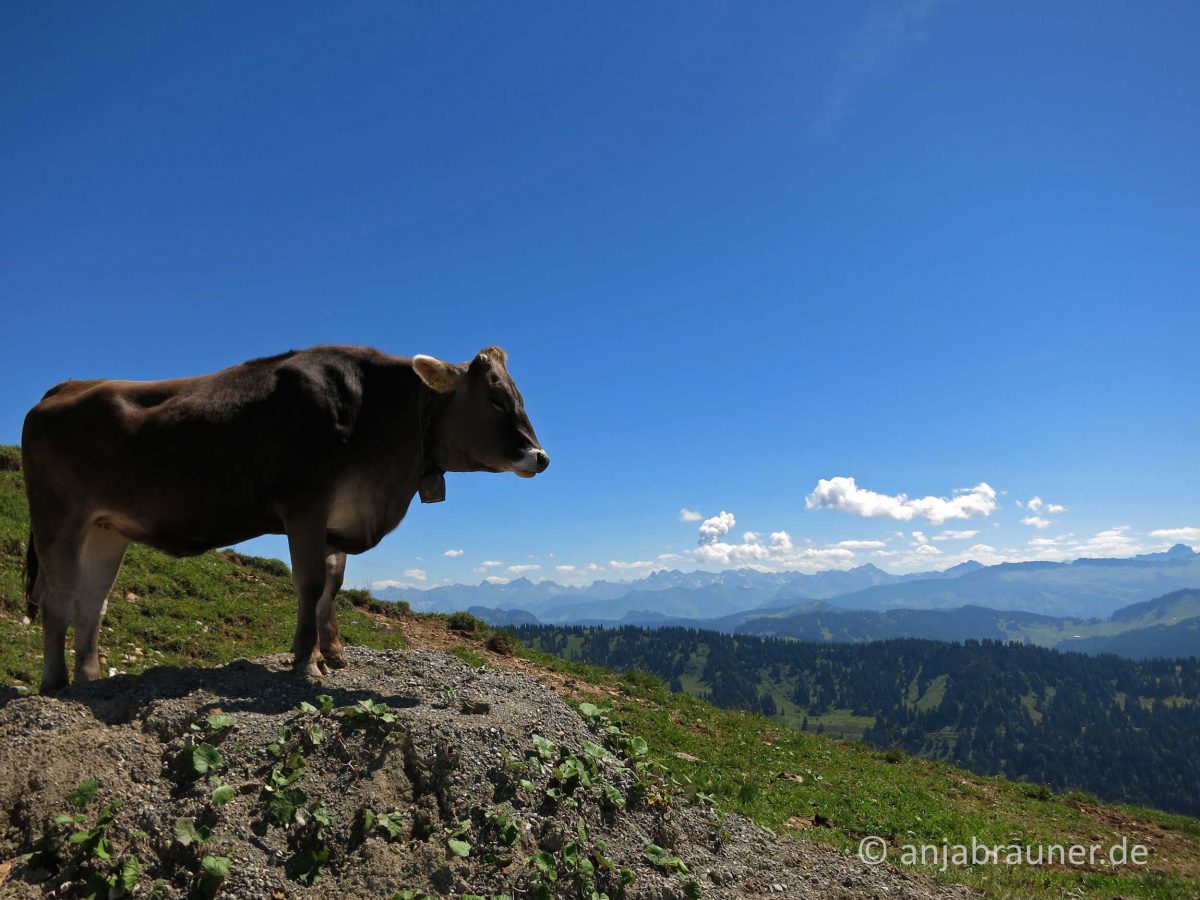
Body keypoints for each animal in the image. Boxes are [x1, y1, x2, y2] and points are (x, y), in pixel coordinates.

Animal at [19, 343, 549, 691]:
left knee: (92, 603)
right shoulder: (304, 506)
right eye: (496, 399)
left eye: (520, 396)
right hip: (57, 519)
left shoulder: (337, 520)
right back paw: (56, 685)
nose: (540, 457)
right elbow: (311, 585)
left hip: (106, 529)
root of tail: (66, 385)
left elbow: (332, 586)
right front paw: (304, 662)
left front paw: (330, 653)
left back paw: (90, 681)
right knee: (58, 601)